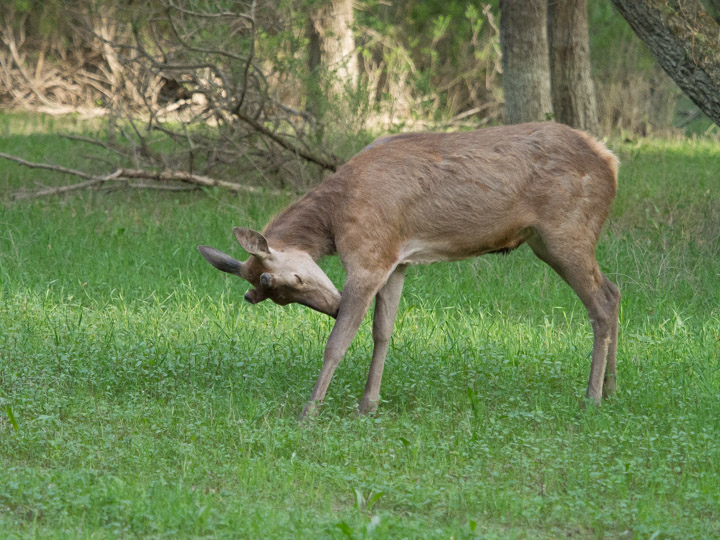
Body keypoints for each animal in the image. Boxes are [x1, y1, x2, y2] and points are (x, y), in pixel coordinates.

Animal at [200, 123, 620, 422]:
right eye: (275, 298)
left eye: (291, 280)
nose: (334, 306)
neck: (334, 218)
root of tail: (612, 161)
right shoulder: (396, 261)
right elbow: (383, 331)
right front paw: (368, 405)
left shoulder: (368, 258)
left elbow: (338, 341)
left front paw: (309, 411)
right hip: (548, 242)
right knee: (614, 291)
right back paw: (613, 388)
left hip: (566, 233)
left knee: (600, 304)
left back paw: (592, 399)